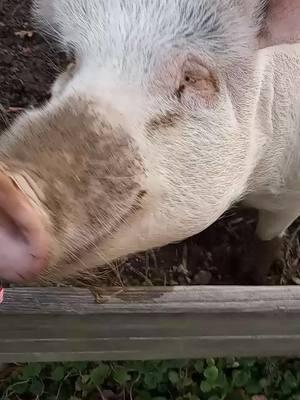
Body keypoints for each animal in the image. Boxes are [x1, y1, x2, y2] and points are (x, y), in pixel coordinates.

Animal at [0, 0, 300, 282]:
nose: (6, 184)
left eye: (192, 78)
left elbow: (268, 235)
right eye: (69, 58)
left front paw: (248, 277)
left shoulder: (288, 193)